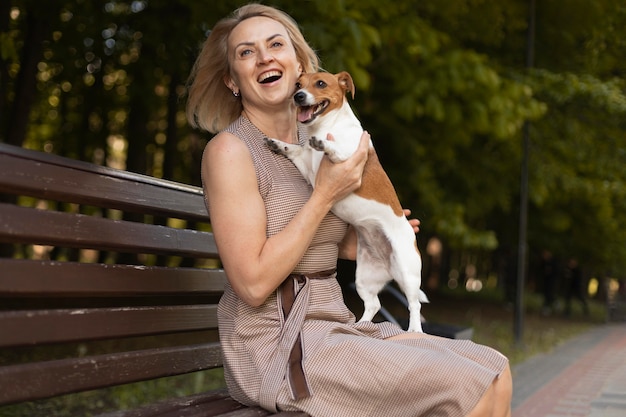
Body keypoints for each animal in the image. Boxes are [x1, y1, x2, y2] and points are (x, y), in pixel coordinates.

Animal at [266, 70, 426, 332]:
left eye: (321, 83)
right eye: (298, 85)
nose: (299, 96)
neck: (326, 126)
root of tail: (388, 267)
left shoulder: (350, 160)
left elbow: (336, 149)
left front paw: (325, 144)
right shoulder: (306, 166)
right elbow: (294, 149)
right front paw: (278, 144)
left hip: (407, 271)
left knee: (414, 305)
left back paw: (414, 329)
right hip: (364, 278)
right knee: (373, 304)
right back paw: (360, 325)